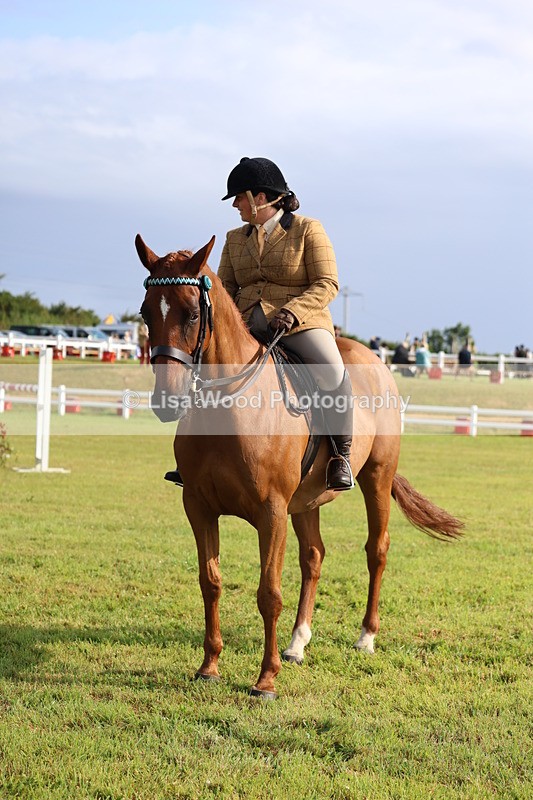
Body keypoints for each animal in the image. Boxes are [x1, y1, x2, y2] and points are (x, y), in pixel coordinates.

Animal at [136, 234, 463, 699]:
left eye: (193, 313)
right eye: (146, 312)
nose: (167, 401)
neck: (230, 405)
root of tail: (372, 358)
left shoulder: (271, 512)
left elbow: (269, 593)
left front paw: (266, 679)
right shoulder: (198, 507)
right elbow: (210, 582)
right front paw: (209, 666)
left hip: (375, 479)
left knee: (376, 550)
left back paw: (365, 637)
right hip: (306, 500)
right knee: (314, 557)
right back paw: (297, 642)